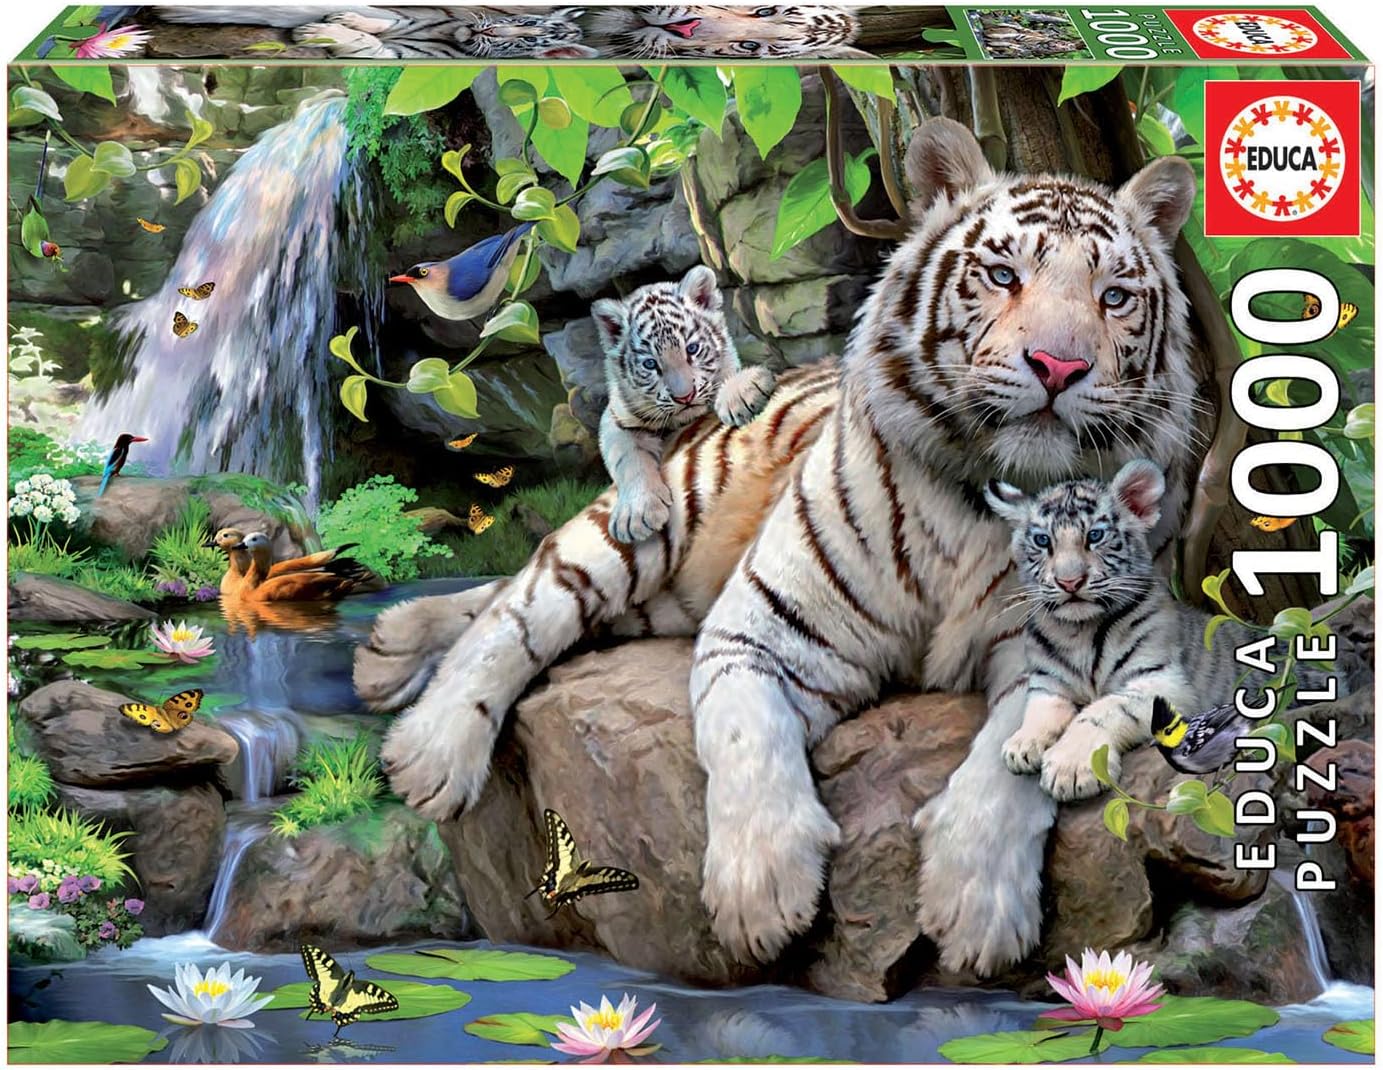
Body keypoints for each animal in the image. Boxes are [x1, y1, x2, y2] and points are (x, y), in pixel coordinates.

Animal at [595, 265, 777, 544]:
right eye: (650, 364)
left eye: (692, 349)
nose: (684, 397)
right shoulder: (616, 419)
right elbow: (629, 458)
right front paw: (637, 514)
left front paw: (742, 393)